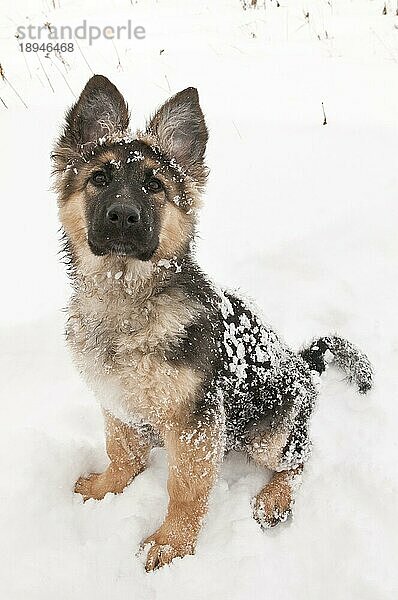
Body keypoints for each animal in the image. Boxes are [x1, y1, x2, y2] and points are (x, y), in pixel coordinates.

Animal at [52, 76, 374, 572]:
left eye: (154, 185)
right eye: (99, 178)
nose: (123, 217)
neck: (130, 300)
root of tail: (306, 367)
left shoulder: (196, 422)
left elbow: (185, 488)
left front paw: (172, 544)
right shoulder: (115, 401)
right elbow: (121, 451)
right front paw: (108, 487)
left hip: (271, 434)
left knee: (299, 460)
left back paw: (275, 499)